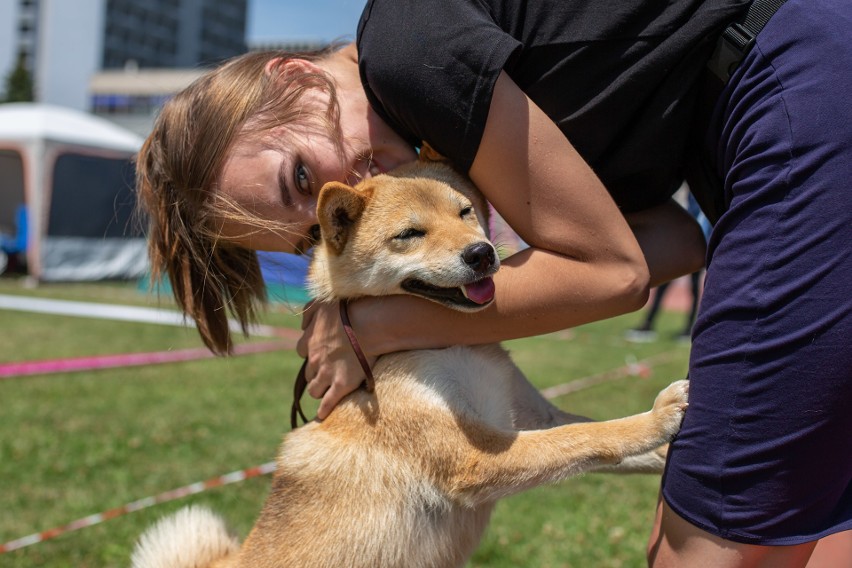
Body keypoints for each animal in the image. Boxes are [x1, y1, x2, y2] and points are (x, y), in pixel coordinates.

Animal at [135, 155, 692, 568]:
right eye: (408, 234)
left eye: (466, 212)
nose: (482, 253)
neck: (450, 345)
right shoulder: (477, 456)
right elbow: (588, 437)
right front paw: (658, 417)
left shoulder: (531, 415)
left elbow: (592, 438)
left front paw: (668, 456)